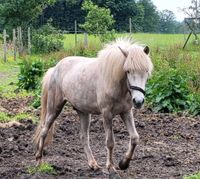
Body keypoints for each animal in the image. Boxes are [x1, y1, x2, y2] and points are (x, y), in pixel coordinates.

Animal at [33, 38, 154, 175]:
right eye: (128, 71)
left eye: (146, 71)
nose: (138, 101)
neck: (114, 82)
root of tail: (54, 69)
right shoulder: (106, 114)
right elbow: (110, 142)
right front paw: (110, 167)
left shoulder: (126, 112)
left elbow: (134, 138)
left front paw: (123, 163)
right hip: (54, 108)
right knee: (44, 130)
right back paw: (39, 160)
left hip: (83, 112)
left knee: (84, 137)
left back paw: (93, 164)